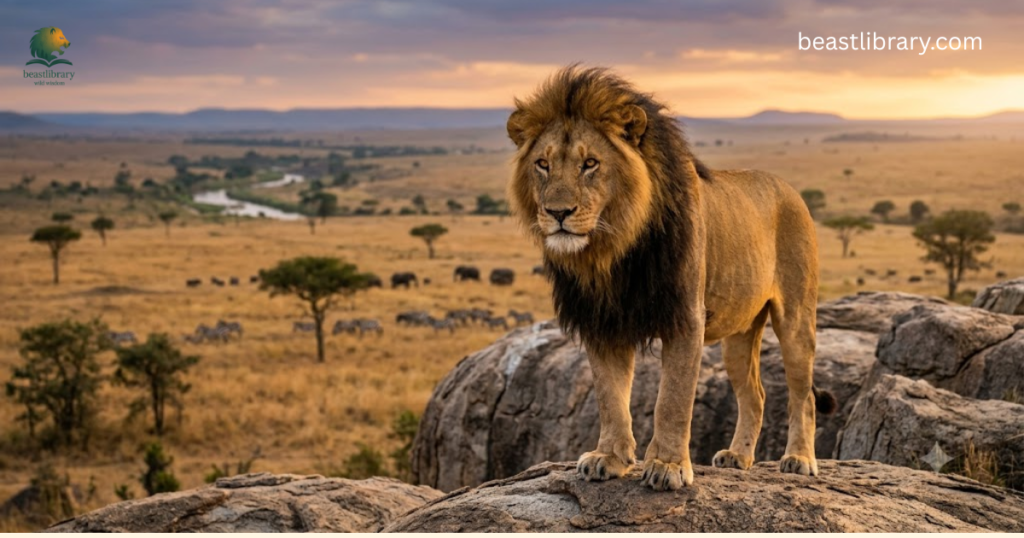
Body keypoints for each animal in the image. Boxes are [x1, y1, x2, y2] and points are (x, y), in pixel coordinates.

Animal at [506, 66, 836, 491]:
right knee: (756, 394)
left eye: (590, 163)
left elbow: (672, 400)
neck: (612, 250)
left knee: (803, 395)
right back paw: (738, 457)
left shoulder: (685, 317)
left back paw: (799, 459)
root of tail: (790, 190)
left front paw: (667, 466)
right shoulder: (602, 323)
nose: (557, 213)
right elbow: (610, 398)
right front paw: (608, 458)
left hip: (795, 318)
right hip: (739, 334)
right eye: (543, 164)